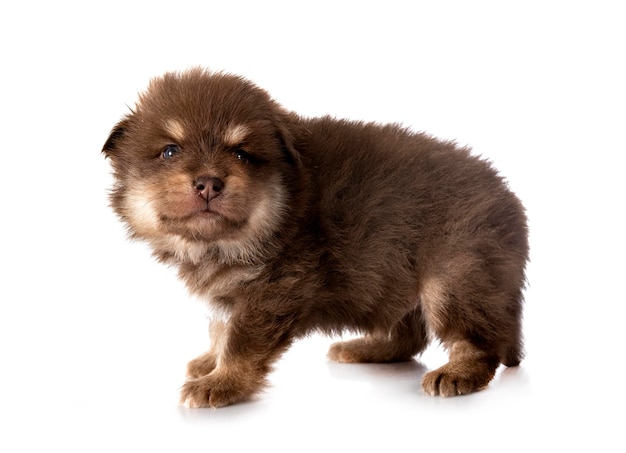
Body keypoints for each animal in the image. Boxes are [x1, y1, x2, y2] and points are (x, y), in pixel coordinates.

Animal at [102, 68, 528, 410]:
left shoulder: (275, 291)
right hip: (396, 274)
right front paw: (210, 361)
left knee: (479, 341)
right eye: (170, 151)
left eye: (240, 154)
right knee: (408, 332)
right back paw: (364, 347)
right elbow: (220, 329)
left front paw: (221, 383)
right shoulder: (231, 292)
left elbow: (241, 340)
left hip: (456, 277)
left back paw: (456, 373)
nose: (208, 182)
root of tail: (510, 199)